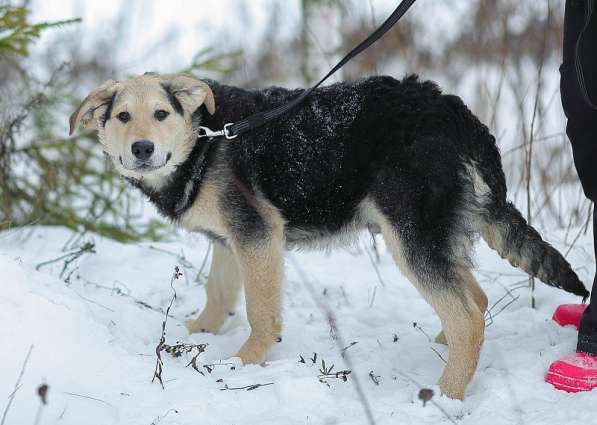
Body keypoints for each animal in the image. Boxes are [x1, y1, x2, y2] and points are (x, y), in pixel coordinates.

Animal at [68, 72, 588, 398]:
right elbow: (219, 295)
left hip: (409, 235)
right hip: (436, 234)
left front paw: (242, 363)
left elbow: (260, 312)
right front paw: (198, 334)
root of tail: (455, 114)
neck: (205, 138)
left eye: (161, 113)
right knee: (473, 299)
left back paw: (447, 395)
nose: (142, 149)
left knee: (469, 315)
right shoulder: (230, 241)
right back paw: (443, 347)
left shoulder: (258, 235)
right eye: (121, 117)